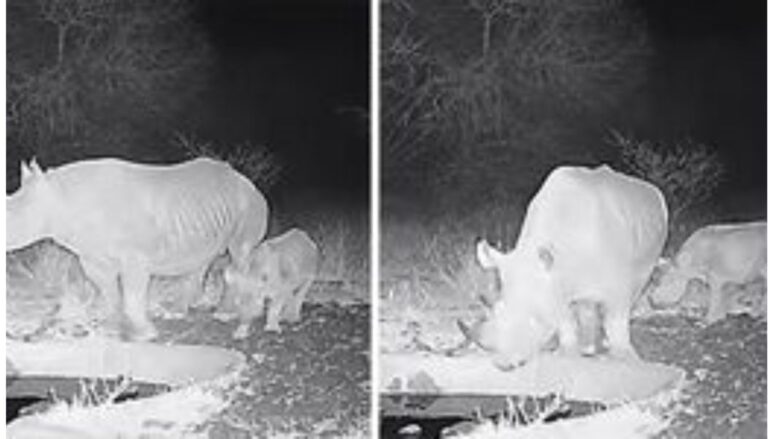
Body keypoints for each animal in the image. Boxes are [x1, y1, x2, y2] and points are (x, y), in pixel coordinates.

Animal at [7, 157, 269, 341]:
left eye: (12, 217)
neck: (61, 199)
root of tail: (248, 182)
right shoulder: (92, 256)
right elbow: (108, 291)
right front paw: (111, 328)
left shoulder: (135, 256)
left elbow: (133, 294)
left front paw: (144, 334)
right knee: (205, 255)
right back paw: (180, 310)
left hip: (250, 205)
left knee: (239, 253)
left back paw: (227, 315)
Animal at [463, 165, 668, 370]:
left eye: (534, 319)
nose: (503, 363)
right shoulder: (555, 283)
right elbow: (564, 319)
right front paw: (567, 354)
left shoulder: (615, 281)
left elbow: (616, 318)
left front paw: (625, 357)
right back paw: (588, 348)